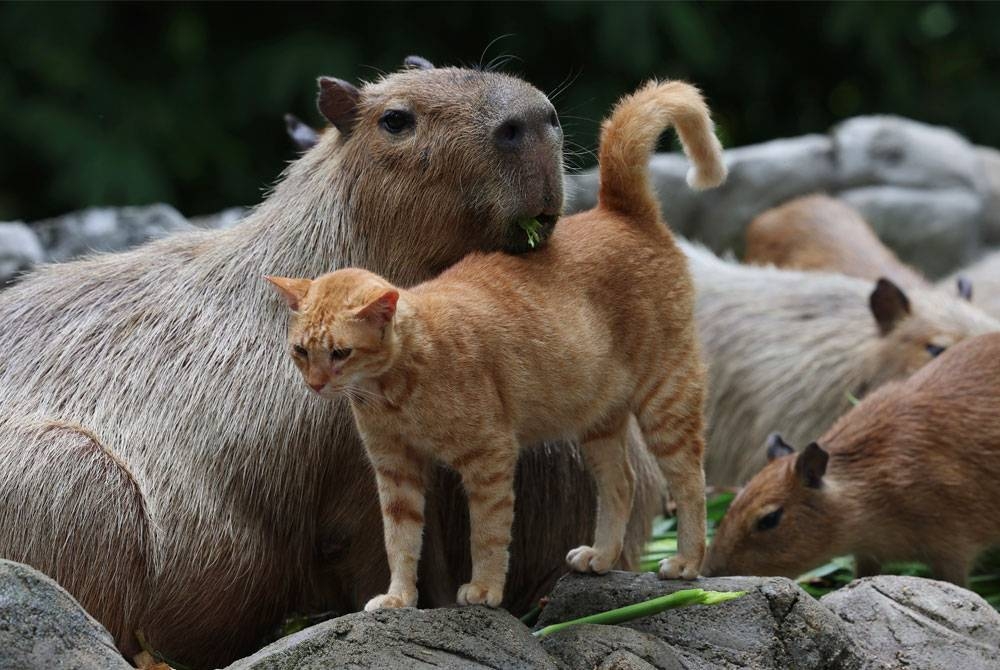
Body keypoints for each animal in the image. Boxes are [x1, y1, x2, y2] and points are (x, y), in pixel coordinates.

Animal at [266, 81, 728, 612]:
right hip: (599, 420)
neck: (395, 390)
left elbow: (486, 534)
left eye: (340, 353)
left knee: (690, 480)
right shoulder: (396, 472)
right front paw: (398, 597)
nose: (316, 384)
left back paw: (687, 562)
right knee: (622, 483)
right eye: (301, 352)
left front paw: (484, 589)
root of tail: (619, 210)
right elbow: (399, 541)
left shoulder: (489, 460)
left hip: (665, 399)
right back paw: (601, 556)